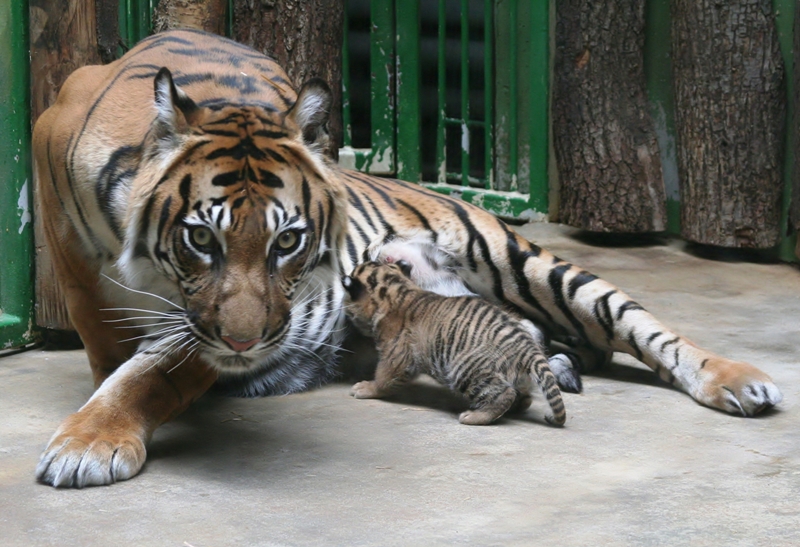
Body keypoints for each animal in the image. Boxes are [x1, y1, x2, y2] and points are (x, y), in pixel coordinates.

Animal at [32, 30, 780, 488]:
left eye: (288, 241)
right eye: (201, 240)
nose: (249, 344)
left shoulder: (206, 325)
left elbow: (152, 371)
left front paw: (89, 443)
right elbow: (104, 330)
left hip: (524, 261)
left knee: (645, 328)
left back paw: (740, 383)